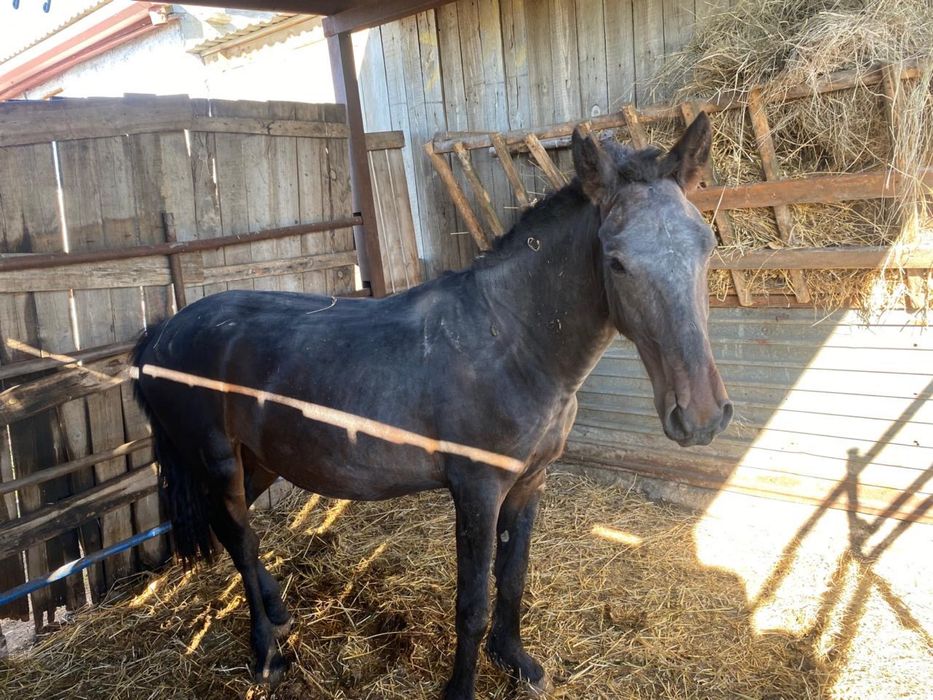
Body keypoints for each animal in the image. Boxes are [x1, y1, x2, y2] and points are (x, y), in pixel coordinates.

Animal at [131, 112, 732, 699]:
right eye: (617, 261)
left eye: (706, 245)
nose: (701, 416)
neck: (511, 342)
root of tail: (162, 333)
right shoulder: (477, 491)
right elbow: (473, 603)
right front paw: (462, 687)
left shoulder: (529, 483)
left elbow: (513, 579)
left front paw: (516, 662)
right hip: (218, 462)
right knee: (237, 535)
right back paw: (266, 654)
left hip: (256, 461)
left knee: (239, 534)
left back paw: (278, 613)